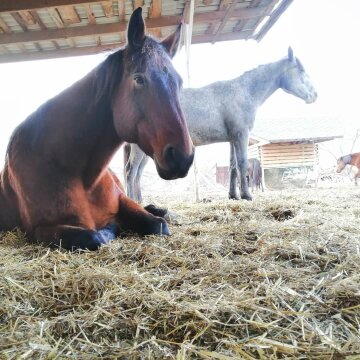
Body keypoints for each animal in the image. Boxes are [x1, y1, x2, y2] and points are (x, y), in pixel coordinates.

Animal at [0, 8, 194, 250]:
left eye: (179, 82)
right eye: (139, 79)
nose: (182, 157)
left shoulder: (123, 200)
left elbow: (157, 225)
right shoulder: (40, 229)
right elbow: (95, 236)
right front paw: (112, 227)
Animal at [125, 47, 316, 202]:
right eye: (301, 70)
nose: (315, 95)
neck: (243, 92)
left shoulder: (232, 139)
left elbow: (232, 166)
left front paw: (233, 195)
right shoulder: (241, 135)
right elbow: (242, 164)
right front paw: (247, 195)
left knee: (137, 174)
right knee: (130, 172)